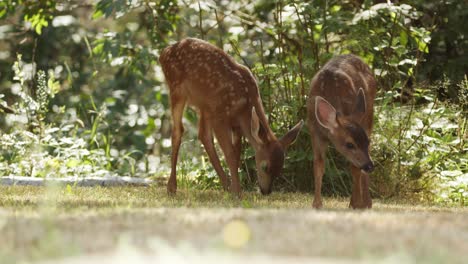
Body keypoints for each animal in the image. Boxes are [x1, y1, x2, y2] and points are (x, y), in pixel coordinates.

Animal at [159, 38, 302, 195]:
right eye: (265, 166)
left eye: (281, 167)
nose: (266, 191)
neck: (245, 104)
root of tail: (164, 52)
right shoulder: (220, 118)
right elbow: (230, 155)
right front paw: (238, 193)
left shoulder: (235, 124)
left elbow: (237, 154)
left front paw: (234, 189)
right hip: (176, 89)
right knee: (178, 131)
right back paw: (172, 187)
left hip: (205, 105)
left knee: (203, 135)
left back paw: (225, 185)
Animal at [308, 54, 376, 209]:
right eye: (349, 144)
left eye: (367, 142)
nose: (370, 166)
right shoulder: (314, 131)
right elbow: (318, 165)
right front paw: (317, 204)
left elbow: (354, 169)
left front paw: (356, 204)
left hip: (368, 115)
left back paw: (365, 202)